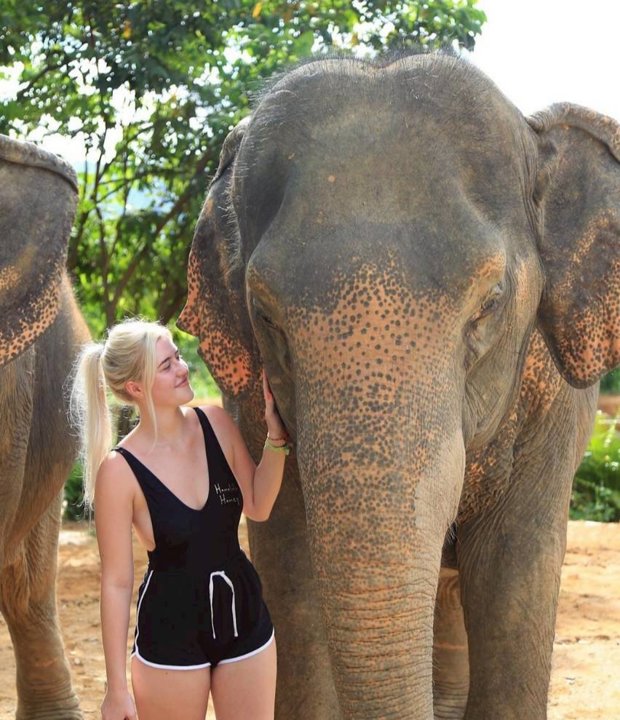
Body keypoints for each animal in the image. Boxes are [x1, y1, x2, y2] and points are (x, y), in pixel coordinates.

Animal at [178, 53, 620, 720]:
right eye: (264, 315)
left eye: (489, 304)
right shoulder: (250, 403)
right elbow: (290, 574)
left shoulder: (552, 410)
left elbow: (516, 574)